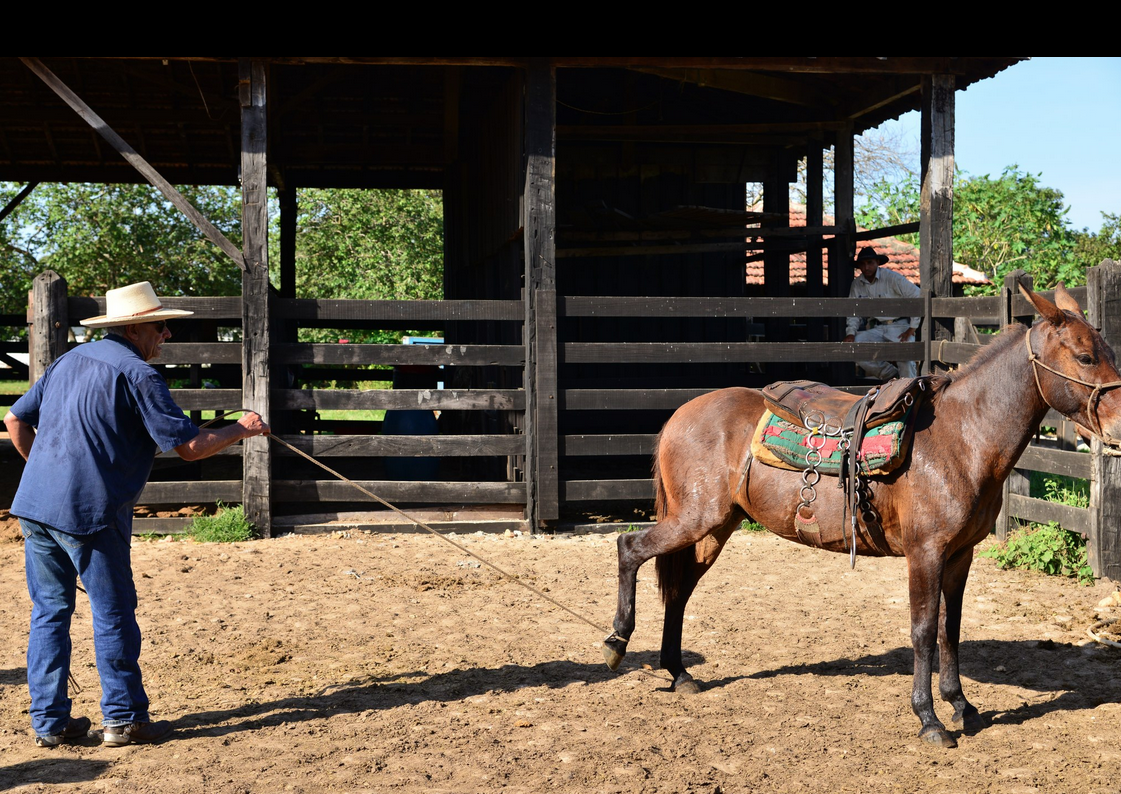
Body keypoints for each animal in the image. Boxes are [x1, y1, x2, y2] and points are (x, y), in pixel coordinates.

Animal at [609, 282, 1121, 749]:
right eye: (1084, 357)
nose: (1118, 426)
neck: (963, 437)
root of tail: (679, 415)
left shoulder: (960, 556)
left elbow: (950, 630)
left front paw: (960, 705)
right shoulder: (926, 553)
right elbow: (923, 631)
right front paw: (929, 719)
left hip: (716, 527)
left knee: (679, 589)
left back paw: (679, 673)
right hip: (696, 518)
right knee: (630, 548)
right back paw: (617, 643)